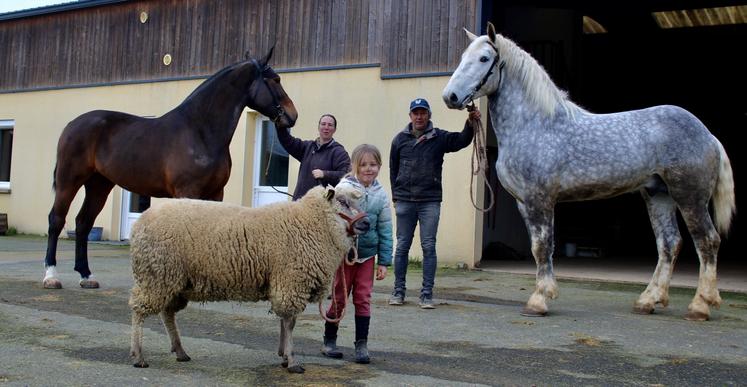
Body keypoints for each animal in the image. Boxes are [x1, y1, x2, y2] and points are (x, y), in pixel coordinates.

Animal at [43, 48, 298, 290]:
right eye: (275, 80)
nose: (292, 115)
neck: (199, 130)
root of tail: (72, 125)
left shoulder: (216, 193)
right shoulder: (188, 192)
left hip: (99, 184)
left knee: (83, 223)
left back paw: (86, 276)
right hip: (69, 180)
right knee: (57, 219)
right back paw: (51, 276)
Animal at [444, 22, 736, 322]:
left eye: (484, 59)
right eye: (463, 56)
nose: (450, 97)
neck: (536, 125)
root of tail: (707, 134)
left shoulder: (541, 199)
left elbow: (543, 246)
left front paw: (539, 300)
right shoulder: (524, 202)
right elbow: (537, 247)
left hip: (690, 197)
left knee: (707, 241)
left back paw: (700, 305)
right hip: (659, 195)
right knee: (669, 243)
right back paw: (647, 301)